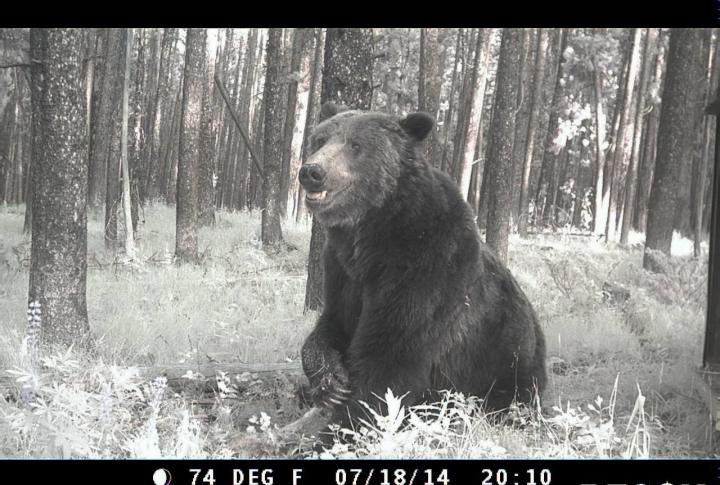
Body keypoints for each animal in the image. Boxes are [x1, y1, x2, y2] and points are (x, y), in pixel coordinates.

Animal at [298, 102, 546, 427]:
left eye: (355, 145)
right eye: (319, 140)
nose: (312, 171)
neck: (373, 233)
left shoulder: (428, 267)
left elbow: (390, 358)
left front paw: (347, 425)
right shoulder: (342, 270)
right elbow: (332, 325)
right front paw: (330, 383)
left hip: (506, 357)